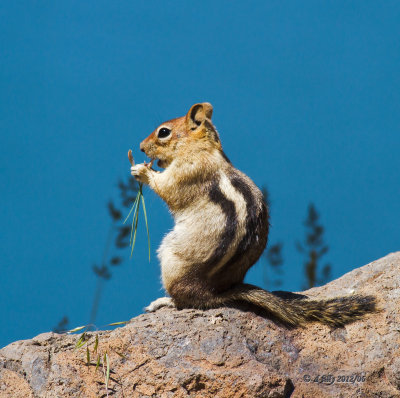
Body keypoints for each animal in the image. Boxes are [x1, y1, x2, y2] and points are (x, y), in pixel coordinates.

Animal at [130, 102, 376, 326]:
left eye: (163, 132)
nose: (140, 147)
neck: (204, 148)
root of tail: (210, 293)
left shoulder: (186, 172)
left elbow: (166, 187)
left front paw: (140, 170)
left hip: (169, 257)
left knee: (185, 301)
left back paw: (163, 302)